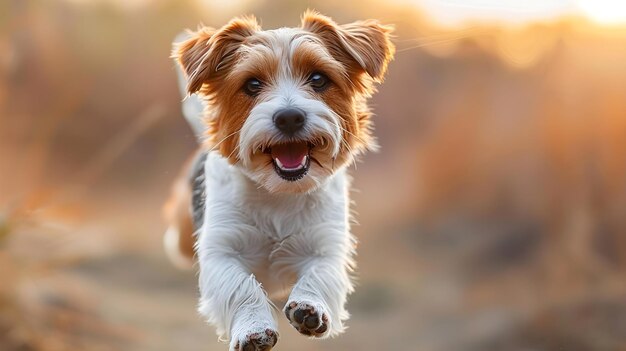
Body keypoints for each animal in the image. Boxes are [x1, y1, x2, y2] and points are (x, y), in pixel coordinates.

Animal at [163, 11, 392, 351]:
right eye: (252, 84)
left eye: (318, 79)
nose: (289, 117)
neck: (279, 192)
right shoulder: (222, 249)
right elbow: (240, 286)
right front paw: (253, 328)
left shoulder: (326, 245)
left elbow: (319, 274)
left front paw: (309, 307)